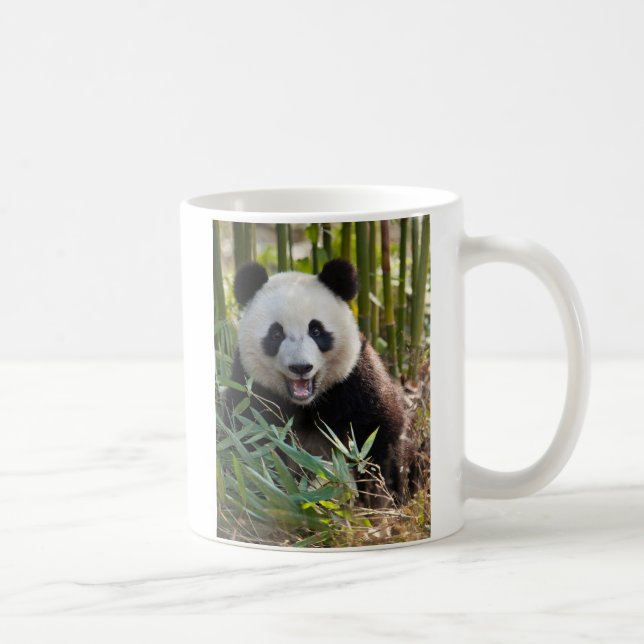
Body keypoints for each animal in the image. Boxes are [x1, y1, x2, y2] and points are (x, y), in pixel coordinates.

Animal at [222, 258, 412, 500]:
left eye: (316, 330)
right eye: (276, 333)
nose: (301, 367)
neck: (308, 404)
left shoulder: (356, 381)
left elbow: (378, 436)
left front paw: (378, 495)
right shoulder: (251, 390)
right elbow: (250, 446)